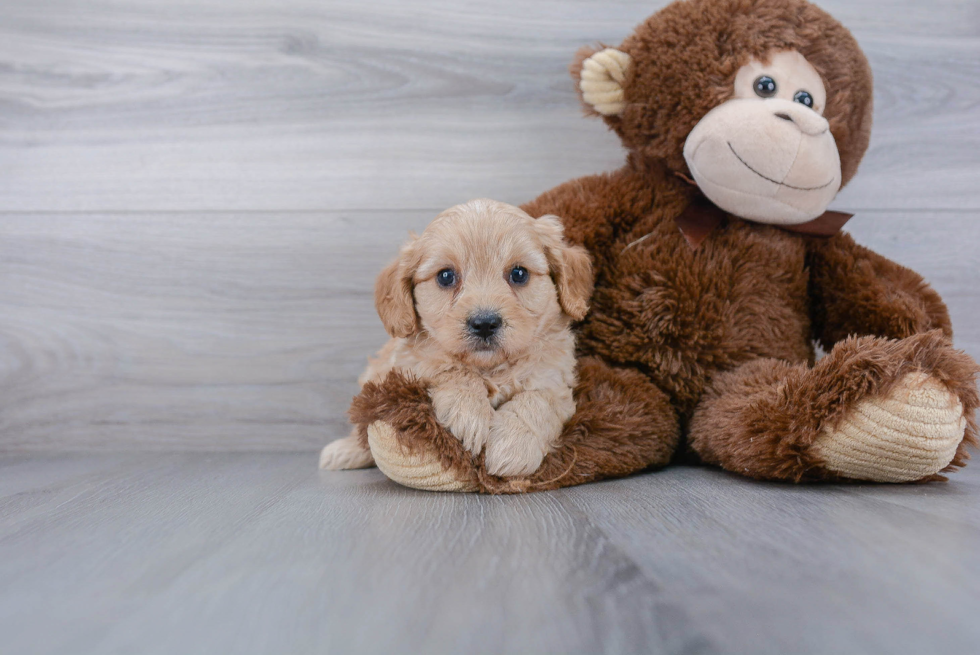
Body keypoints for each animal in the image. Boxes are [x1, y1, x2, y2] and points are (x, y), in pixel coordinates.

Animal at [318, 199, 592, 476]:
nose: (485, 323)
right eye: (446, 276)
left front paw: (512, 446)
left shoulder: (555, 380)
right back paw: (344, 451)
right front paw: (469, 414)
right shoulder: (408, 366)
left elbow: (538, 400)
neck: (489, 368)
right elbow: (451, 369)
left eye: (519, 274)